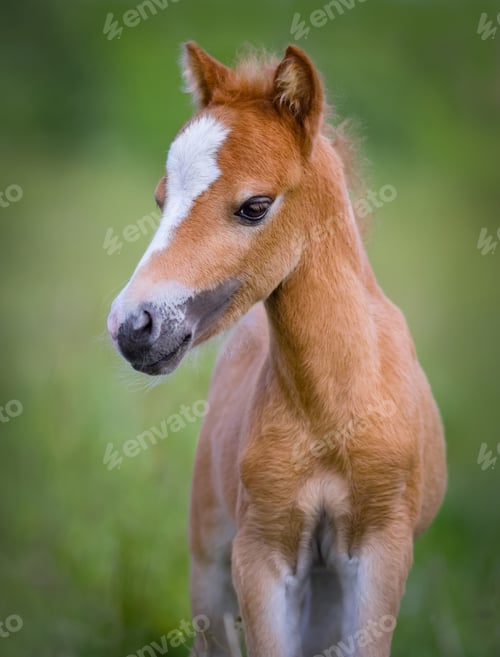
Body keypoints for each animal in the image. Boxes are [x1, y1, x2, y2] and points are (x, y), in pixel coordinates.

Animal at [107, 42, 447, 657]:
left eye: (254, 205)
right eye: (161, 200)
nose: (132, 326)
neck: (332, 409)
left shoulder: (381, 553)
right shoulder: (260, 554)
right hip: (210, 564)